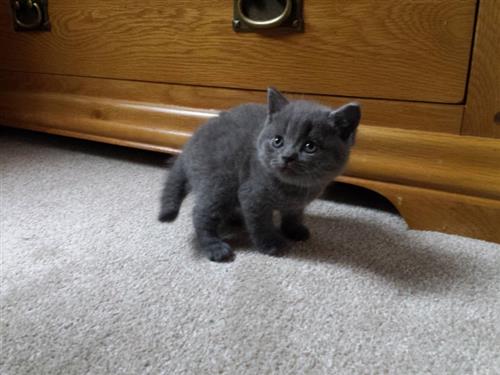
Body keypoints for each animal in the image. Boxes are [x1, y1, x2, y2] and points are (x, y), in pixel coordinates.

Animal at [160, 88, 360, 262]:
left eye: (310, 146)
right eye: (278, 141)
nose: (287, 156)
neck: (291, 189)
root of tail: (188, 146)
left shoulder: (296, 204)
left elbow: (294, 215)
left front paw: (294, 230)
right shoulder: (253, 196)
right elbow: (261, 224)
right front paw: (271, 244)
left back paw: (235, 219)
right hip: (220, 181)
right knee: (201, 213)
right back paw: (215, 247)